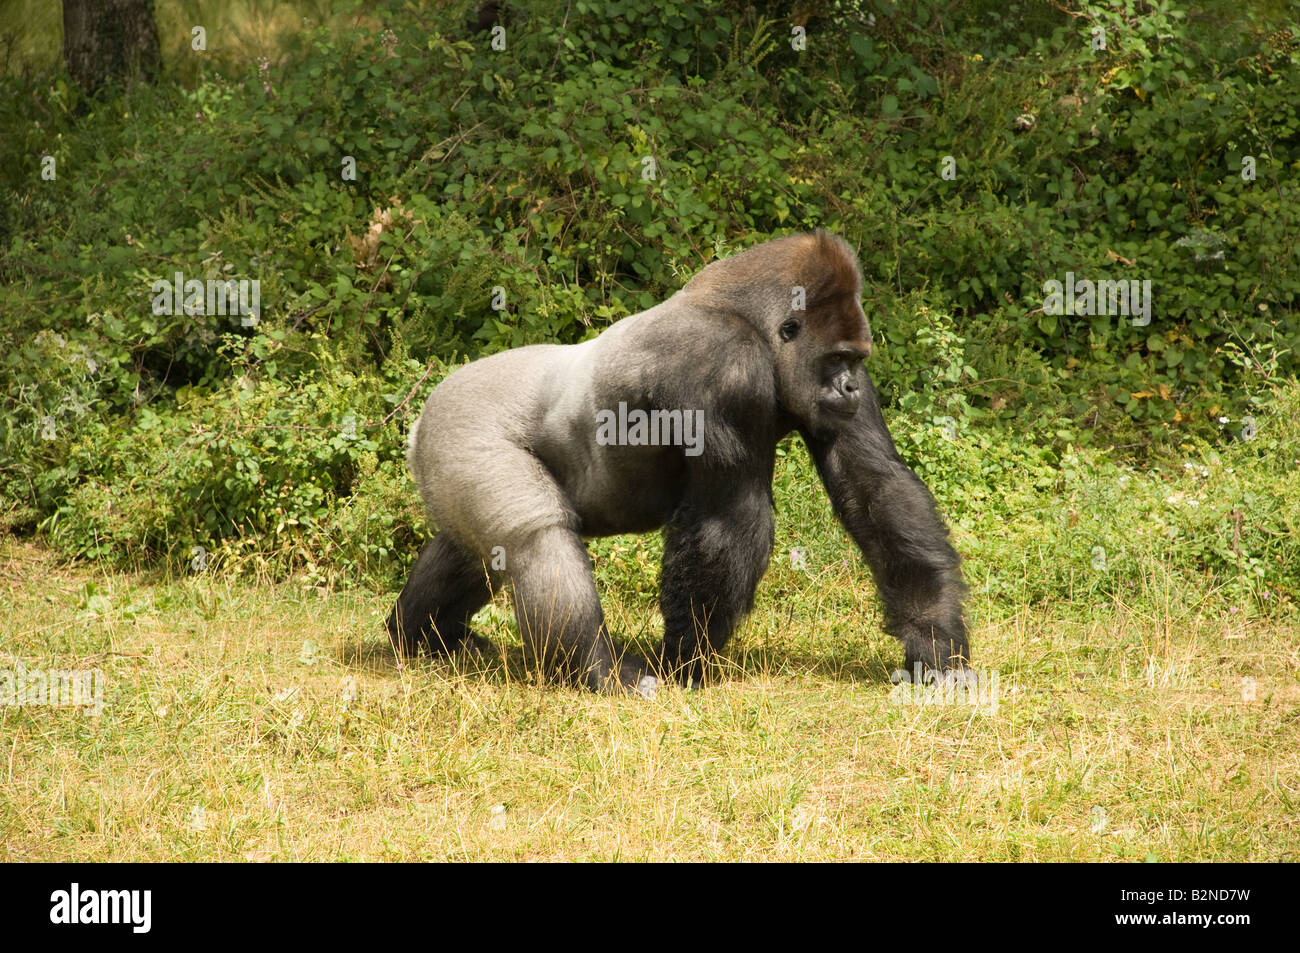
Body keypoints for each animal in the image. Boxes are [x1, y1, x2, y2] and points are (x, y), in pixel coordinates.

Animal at [390, 230, 972, 691]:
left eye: (854, 361)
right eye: (836, 360)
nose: (848, 386)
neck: (746, 316)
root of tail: (420, 423)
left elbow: (874, 487)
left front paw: (935, 641)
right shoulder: (728, 367)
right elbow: (730, 519)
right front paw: (684, 664)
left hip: (447, 454)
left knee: (476, 549)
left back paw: (421, 636)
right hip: (467, 427)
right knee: (536, 539)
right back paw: (596, 671)